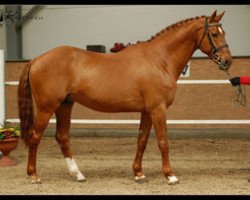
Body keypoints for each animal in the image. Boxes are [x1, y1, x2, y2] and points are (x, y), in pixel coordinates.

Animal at [17, 10, 232, 185]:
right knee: (35, 137)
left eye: (224, 32)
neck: (159, 59)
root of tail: (36, 59)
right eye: (214, 34)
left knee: (62, 137)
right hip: (47, 108)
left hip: (64, 105)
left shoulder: (147, 111)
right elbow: (163, 142)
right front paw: (170, 176)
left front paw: (139, 174)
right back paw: (34, 176)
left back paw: (78, 175)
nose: (227, 61)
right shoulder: (158, 109)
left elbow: (142, 141)